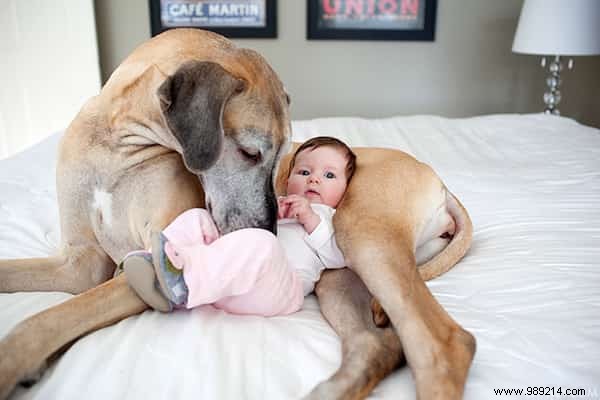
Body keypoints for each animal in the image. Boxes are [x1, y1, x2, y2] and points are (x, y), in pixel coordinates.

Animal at [0, 28, 474, 400]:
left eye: (283, 155)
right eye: (250, 152)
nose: (269, 231)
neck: (119, 144)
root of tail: (439, 182)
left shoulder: (152, 264)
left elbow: (41, 321)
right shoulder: (79, 264)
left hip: (363, 233)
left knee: (444, 342)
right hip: (340, 278)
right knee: (378, 345)